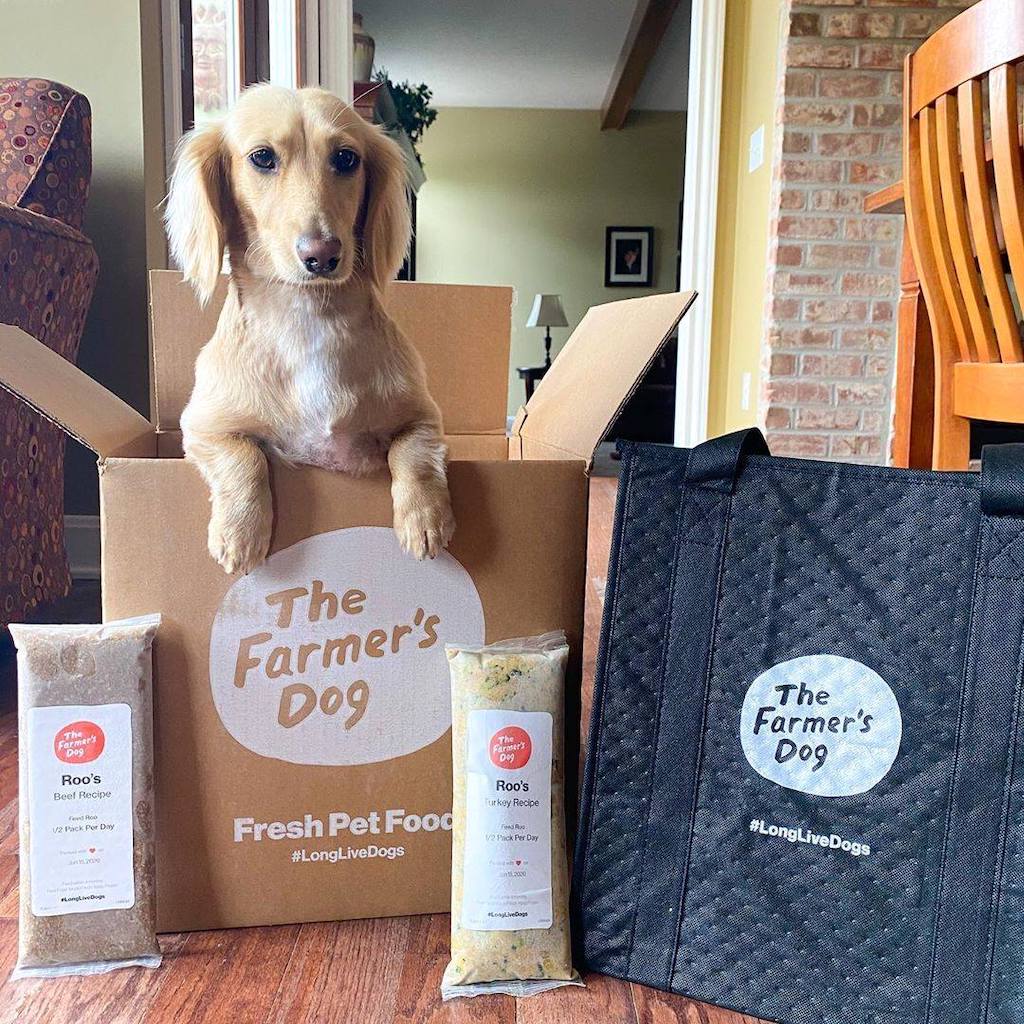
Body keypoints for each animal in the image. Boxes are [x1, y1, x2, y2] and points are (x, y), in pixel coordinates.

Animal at [163, 82, 452, 573]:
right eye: (262, 157)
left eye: (346, 158)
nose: (322, 254)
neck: (309, 316)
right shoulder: (201, 427)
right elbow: (243, 455)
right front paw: (241, 531)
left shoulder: (425, 417)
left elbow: (414, 454)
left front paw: (425, 517)